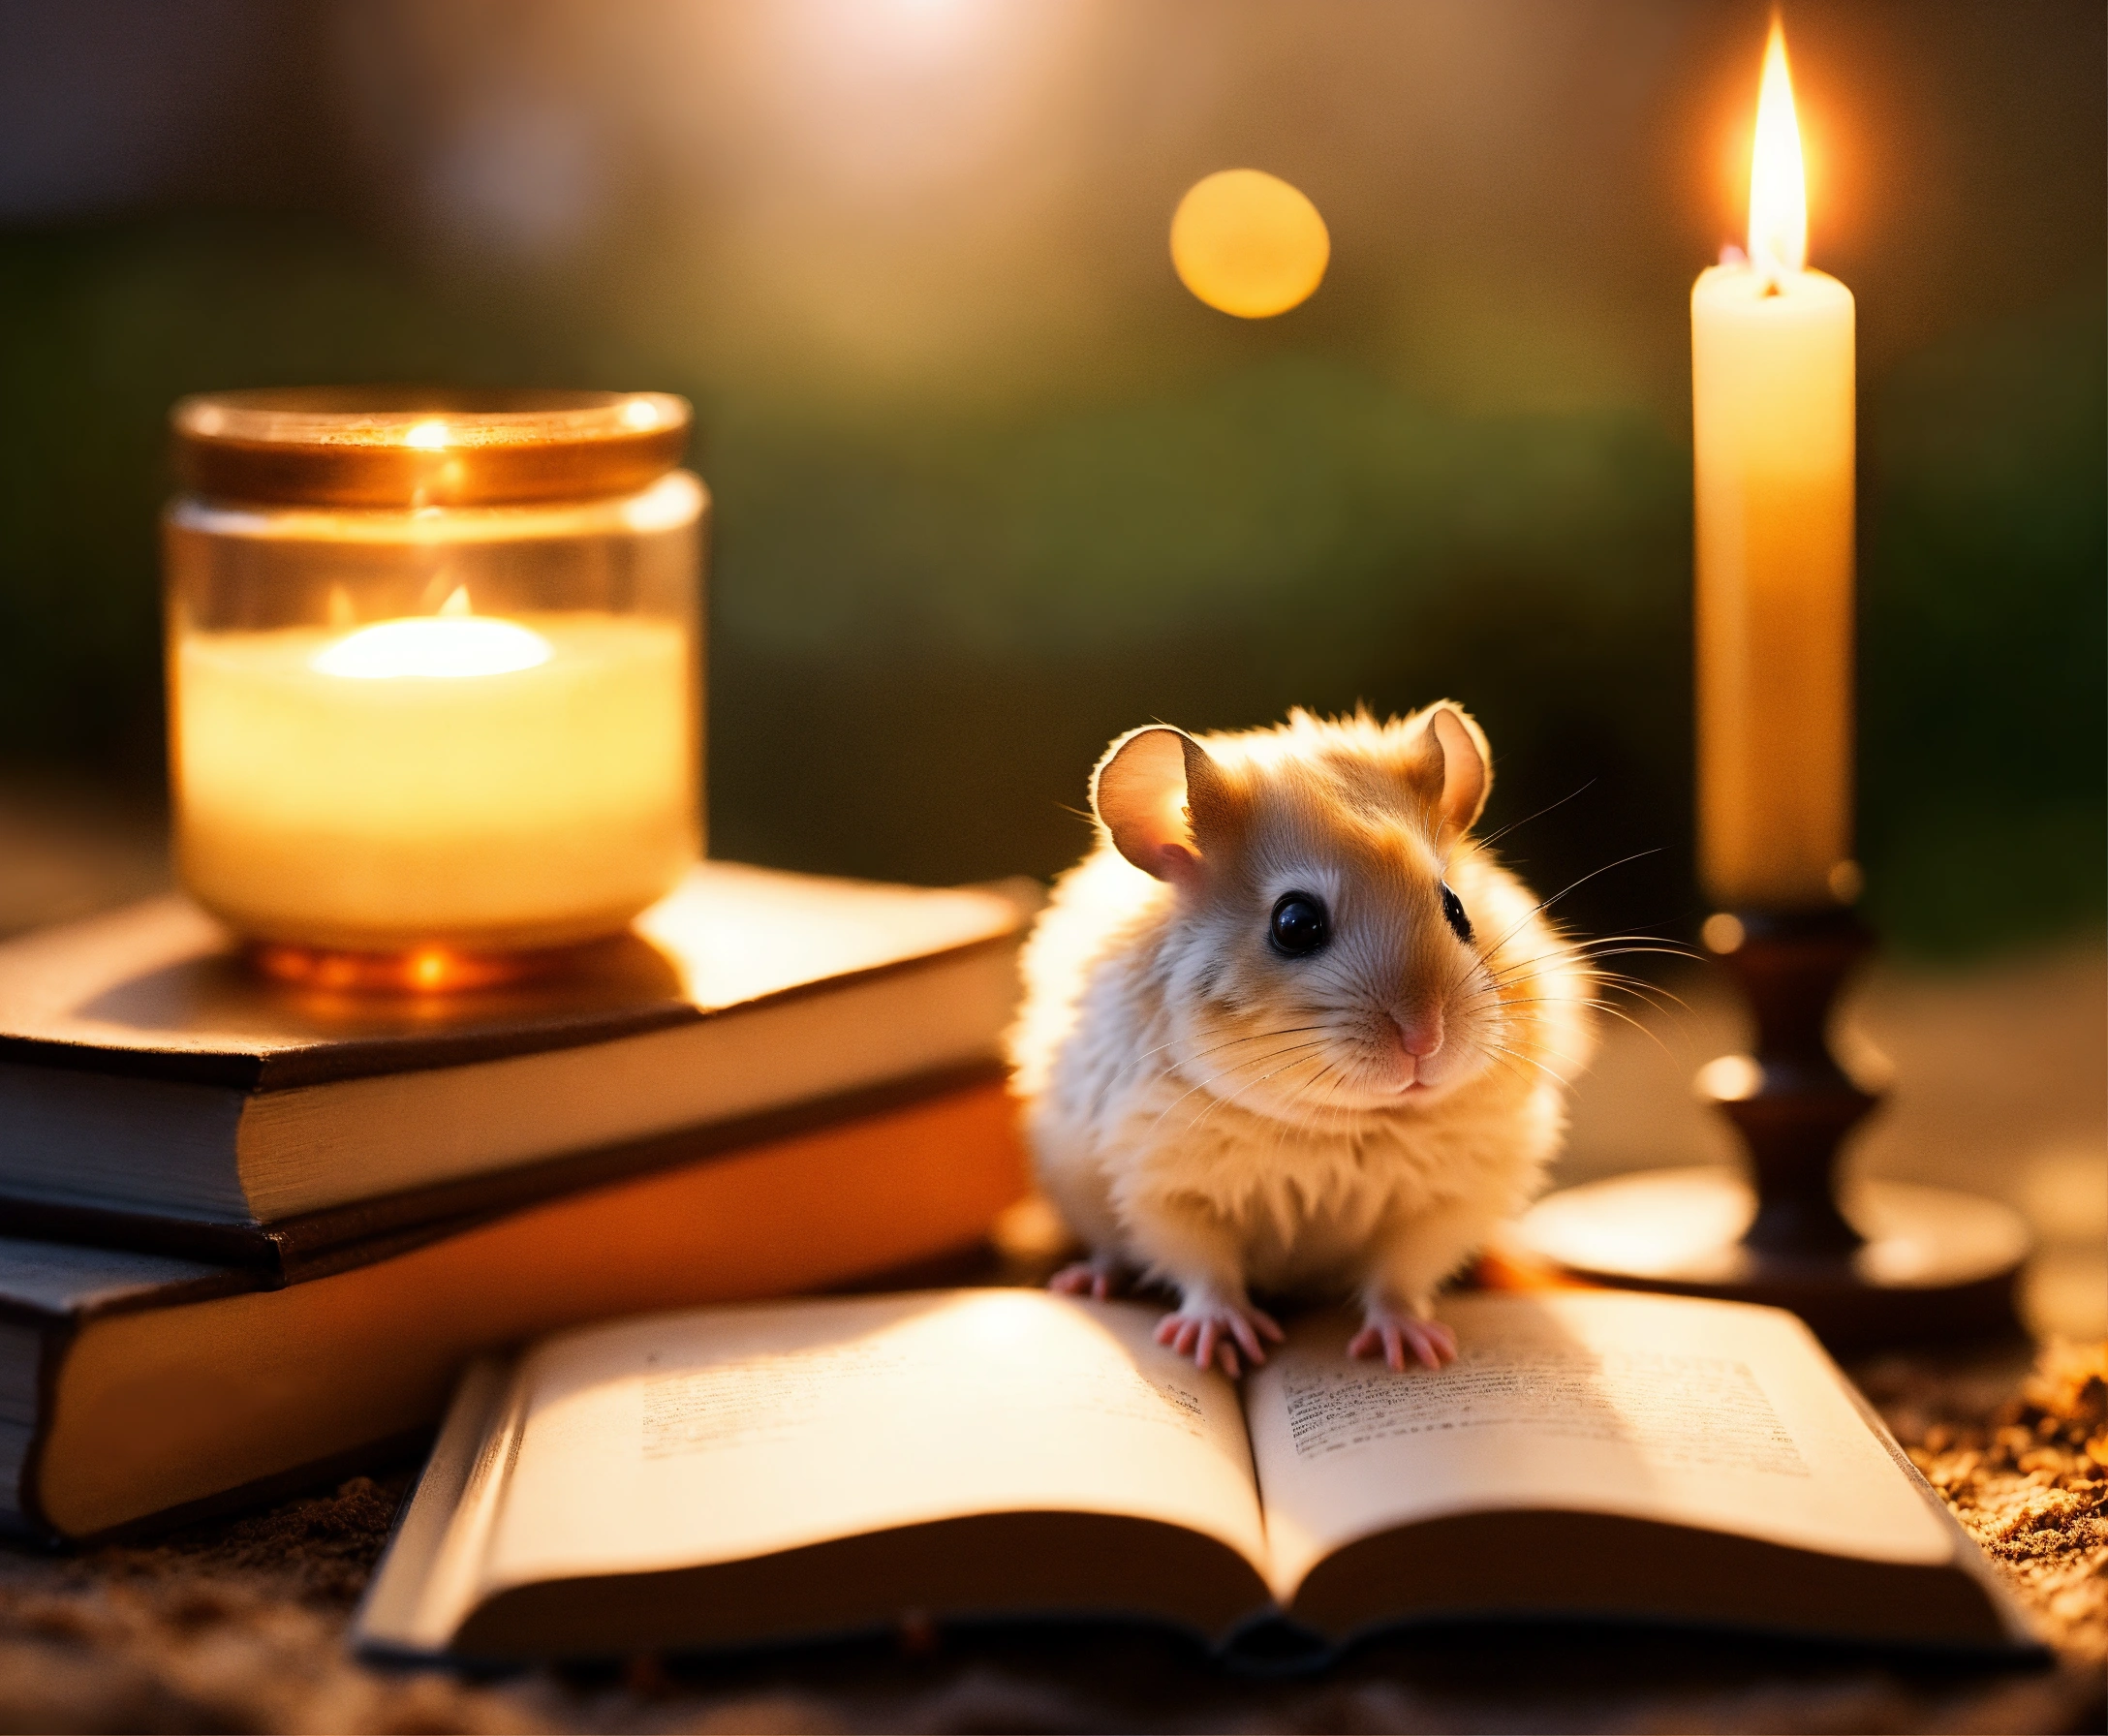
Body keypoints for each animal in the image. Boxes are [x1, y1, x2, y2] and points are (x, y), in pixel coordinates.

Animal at [1007, 705, 1594, 1376]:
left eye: (1456, 908)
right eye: (1294, 923)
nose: (1427, 1037)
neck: (1338, 1125)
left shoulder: (1444, 1203)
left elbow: (1399, 1279)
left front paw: (1416, 1352)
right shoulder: (1164, 1184)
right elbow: (1203, 1268)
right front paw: (1221, 1344)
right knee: (1113, 1252)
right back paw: (1090, 1282)